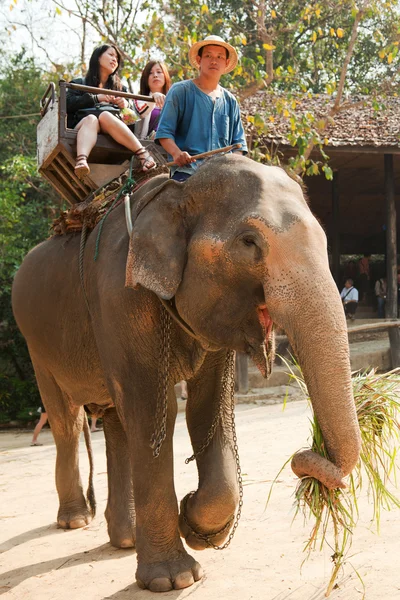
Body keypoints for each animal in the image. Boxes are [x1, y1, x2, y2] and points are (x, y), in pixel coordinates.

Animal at [12, 155, 362, 592]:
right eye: (249, 242)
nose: (306, 457)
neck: (178, 191)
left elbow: (208, 407)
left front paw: (196, 525)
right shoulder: (120, 294)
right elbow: (153, 411)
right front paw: (174, 579)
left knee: (115, 422)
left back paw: (125, 539)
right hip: (35, 342)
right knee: (68, 421)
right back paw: (76, 520)